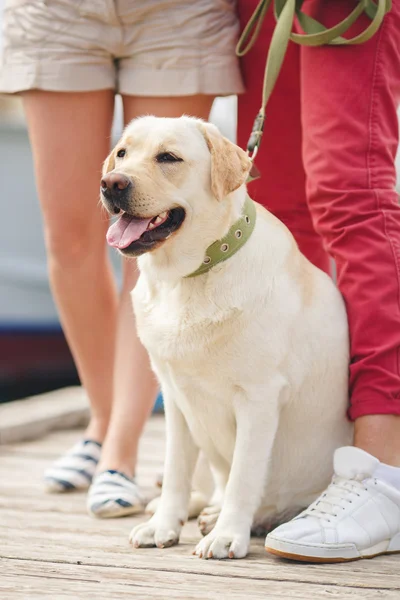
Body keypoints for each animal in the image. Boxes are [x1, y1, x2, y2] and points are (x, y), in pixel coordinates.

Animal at [101, 116, 354, 556]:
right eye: (122, 153)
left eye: (168, 157)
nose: (112, 183)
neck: (188, 277)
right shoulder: (175, 396)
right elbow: (176, 470)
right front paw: (163, 525)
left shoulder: (258, 397)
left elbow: (243, 476)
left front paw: (227, 535)